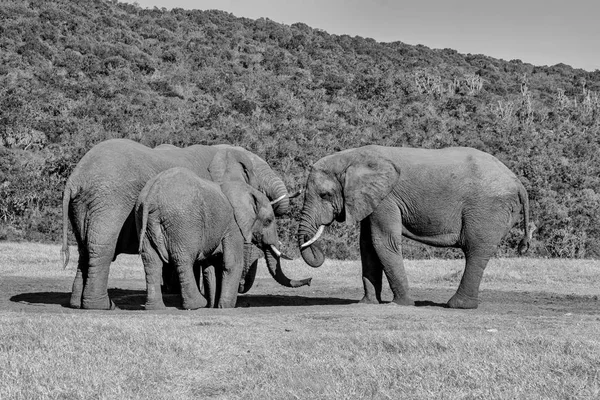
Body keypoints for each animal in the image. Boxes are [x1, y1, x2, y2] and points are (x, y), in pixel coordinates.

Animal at [135, 166, 312, 310]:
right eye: (268, 221)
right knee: (183, 259)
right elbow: (232, 263)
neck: (243, 190)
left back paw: (155, 308)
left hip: (143, 218)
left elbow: (211, 267)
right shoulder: (233, 225)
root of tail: (152, 195)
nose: (310, 280)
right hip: (183, 222)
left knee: (151, 261)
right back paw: (196, 305)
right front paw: (226, 307)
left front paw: (214, 306)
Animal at [298, 146, 532, 310]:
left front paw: (400, 304)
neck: (353, 158)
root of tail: (518, 182)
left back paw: (457, 305)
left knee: (476, 250)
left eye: (325, 195)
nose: (309, 281)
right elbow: (367, 246)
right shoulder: (371, 199)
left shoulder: (387, 198)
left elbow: (382, 242)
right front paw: (366, 303)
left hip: (487, 208)